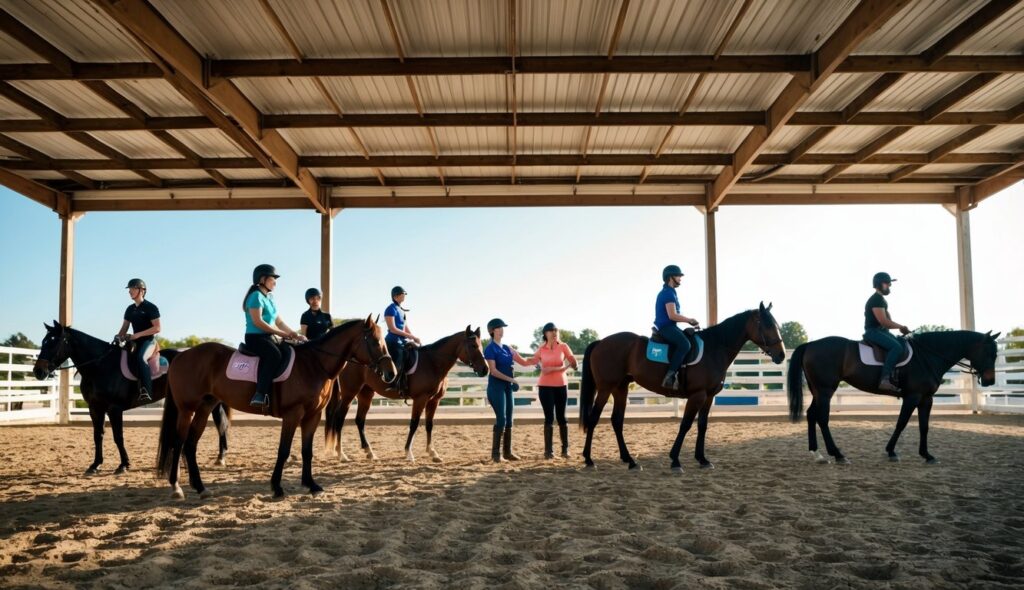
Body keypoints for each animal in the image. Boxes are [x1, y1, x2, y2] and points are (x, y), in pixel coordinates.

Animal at [33, 319, 233, 477]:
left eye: (53, 342)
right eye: (43, 341)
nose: (38, 371)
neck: (100, 365)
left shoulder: (114, 409)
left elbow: (118, 436)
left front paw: (123, 465)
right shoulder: (95, 408)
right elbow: (98, 435)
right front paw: (95, 465)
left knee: (219, 424)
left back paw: (220, 458)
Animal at [157, 315, 393, 499]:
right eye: (374, 341)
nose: (391, 373)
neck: (314, 364)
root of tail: (181, 354)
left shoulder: (313, 416)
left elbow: (307, 451)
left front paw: (311, 485)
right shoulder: (293, 414)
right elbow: (284, 450)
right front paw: (277, 487)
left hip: (205, 407)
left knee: (190, 444)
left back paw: (200, 487)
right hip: (186, 409)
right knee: (178, 443)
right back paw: (176, 487)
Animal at [325, 325, 489, 462]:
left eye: (481, 346)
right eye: (474, 346)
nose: (485, 369)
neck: (433, 363)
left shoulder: (434, 401)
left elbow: (429, 424)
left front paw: (432, 452)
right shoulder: (420, 399)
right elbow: (414, 424)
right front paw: (408, 453)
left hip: (366, 393)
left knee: (360, 420)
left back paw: (369, 452)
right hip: (349, 393)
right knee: (339, 418)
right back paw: (341, 454)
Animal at [577, 301, 782, 473]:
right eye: (768, 325)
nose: (781, 355)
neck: (714, 348)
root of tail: (601, 342)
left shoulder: (708, 396)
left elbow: (702, 425)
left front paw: (702, 459)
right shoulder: (697, 395)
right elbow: (685, 425)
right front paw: (675, 460)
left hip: (620, 388)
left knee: (617, 421)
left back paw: (631, 461)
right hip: (606, 388)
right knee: (593, 419)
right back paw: (589, 460)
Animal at [786, 329, 995, 462]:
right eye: (988, 352)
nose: (990, 381)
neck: (927, 356)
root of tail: (810, 344)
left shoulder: (926, 399)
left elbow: (924, 426)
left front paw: (926, 455)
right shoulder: (912, 397)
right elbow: (901, 423)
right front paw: (891, 451)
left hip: (818, 391)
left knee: (811, 415)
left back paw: (817, 454)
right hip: (825, 390)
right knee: (822, 418)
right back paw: (837, 454)